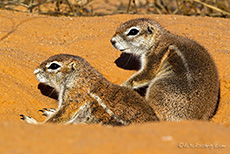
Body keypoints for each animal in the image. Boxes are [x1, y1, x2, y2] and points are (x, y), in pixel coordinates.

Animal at [20, 54, 159, 125]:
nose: (35, 71)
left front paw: (32, 122)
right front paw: (50, 111)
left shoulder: (74, 99)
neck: (78, 77)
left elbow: (58, 118)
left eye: (54, 66)